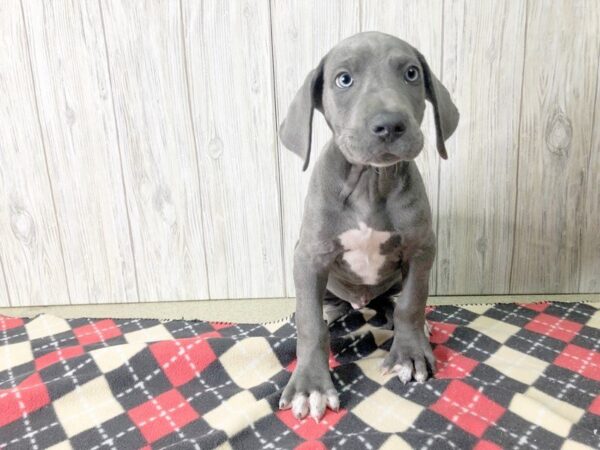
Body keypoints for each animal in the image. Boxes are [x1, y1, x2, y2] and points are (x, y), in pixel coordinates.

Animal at [278, 32, 460, 422]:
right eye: (343, 79)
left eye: (411, 73)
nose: (390, 124)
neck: (370, 182)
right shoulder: (310, 256)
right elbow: (311, 327)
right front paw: (311, 386)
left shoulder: (421, 248)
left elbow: (411, 303)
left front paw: (409, 354)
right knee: (320, 309)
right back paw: (329, 310)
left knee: (394, 301)